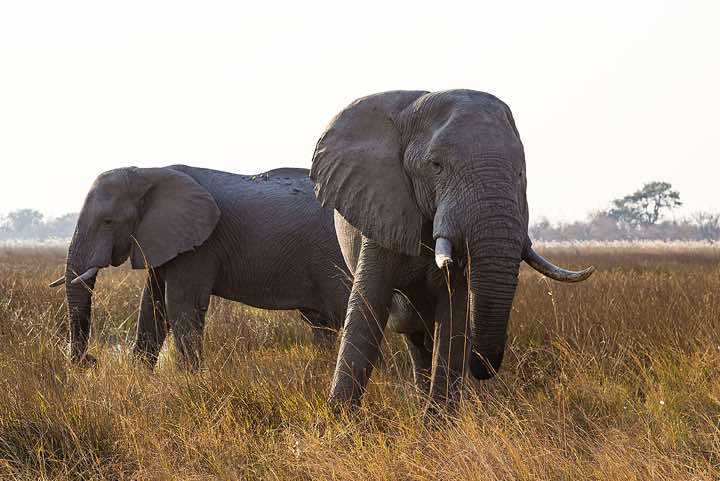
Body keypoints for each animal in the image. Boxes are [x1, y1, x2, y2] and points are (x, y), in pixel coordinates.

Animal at [50, 165, 351, 368]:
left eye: (108, 221)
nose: (90, 360)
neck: (149, 172)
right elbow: (152, 305)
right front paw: (140, 376)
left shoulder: (200, 246)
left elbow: (180, 303)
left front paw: (188, 381)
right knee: (321, 324)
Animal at [310, 89, 594, 411]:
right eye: (436, 166)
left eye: (521, 172)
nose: (482, 367)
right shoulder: (382, 208)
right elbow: (365, 309)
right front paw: (340, 419)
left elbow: (453, 316)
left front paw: (438, 423)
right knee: (413, 335)